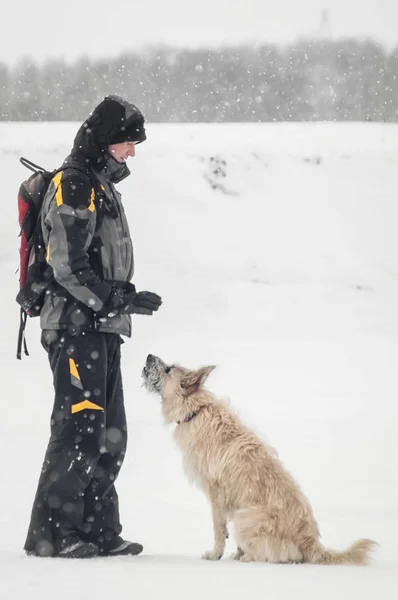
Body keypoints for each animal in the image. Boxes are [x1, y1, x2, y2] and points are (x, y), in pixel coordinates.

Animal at [141, 354, 378, 564]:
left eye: (169, 368)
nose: (149, 355)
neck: (196, 410)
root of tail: (311, 541)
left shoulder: (216, 491)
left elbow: (218, 528)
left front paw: (215, 554)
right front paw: (235, 552)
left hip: (245, 516)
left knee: (278, 554)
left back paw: (249, 557)